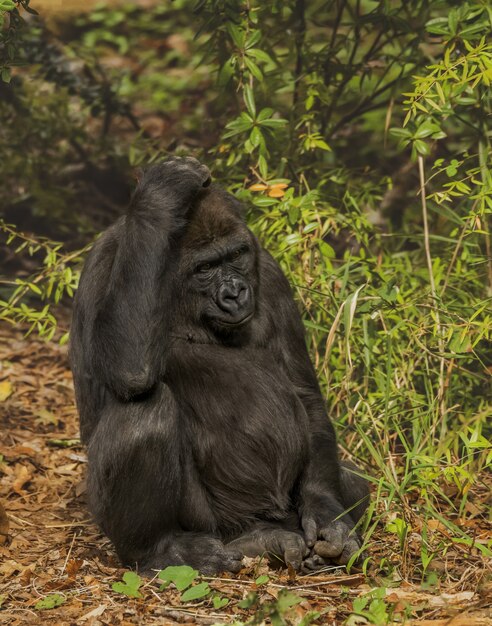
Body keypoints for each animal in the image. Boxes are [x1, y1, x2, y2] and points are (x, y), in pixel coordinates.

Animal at [70, 155, 368, 572]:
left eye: (237, 255)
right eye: (206, 268)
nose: (235, 293)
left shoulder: (268, 272)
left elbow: (305, 394)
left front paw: (327, 514)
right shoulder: (105, 261)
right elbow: (129, 370)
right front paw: (159, 200)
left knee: (353, 482)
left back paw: (264, 540)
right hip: (209, 521)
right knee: (146, 411)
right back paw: (163, 549)